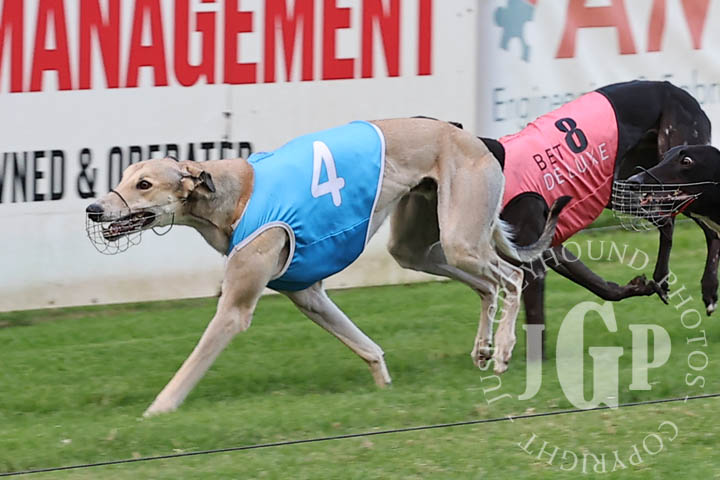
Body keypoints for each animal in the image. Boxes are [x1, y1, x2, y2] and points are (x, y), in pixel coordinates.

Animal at [85, 118, 569, 416]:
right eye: (123, 177)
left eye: (144, 184)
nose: (93, 209)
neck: (233, 193)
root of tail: (473, 138)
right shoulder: (308, 294)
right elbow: (367, 347)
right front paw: (384, 387)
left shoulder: (236, 309)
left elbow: (194, 361)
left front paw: (158, 409)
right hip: (423, 248)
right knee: (486, 286)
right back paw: (483, 346)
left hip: (461, 237)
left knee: (514, 277)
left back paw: (503, 349)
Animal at [474, 80, 716, 356]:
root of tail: (674, 88)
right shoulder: (549, 246)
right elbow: (598, 285)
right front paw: (636, 287)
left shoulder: (532, 260)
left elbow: (535, 315)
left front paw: (533, 363)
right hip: (630, 186)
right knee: (667, 222)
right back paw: (662, 278)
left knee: (706, 229)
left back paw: (708, 289)